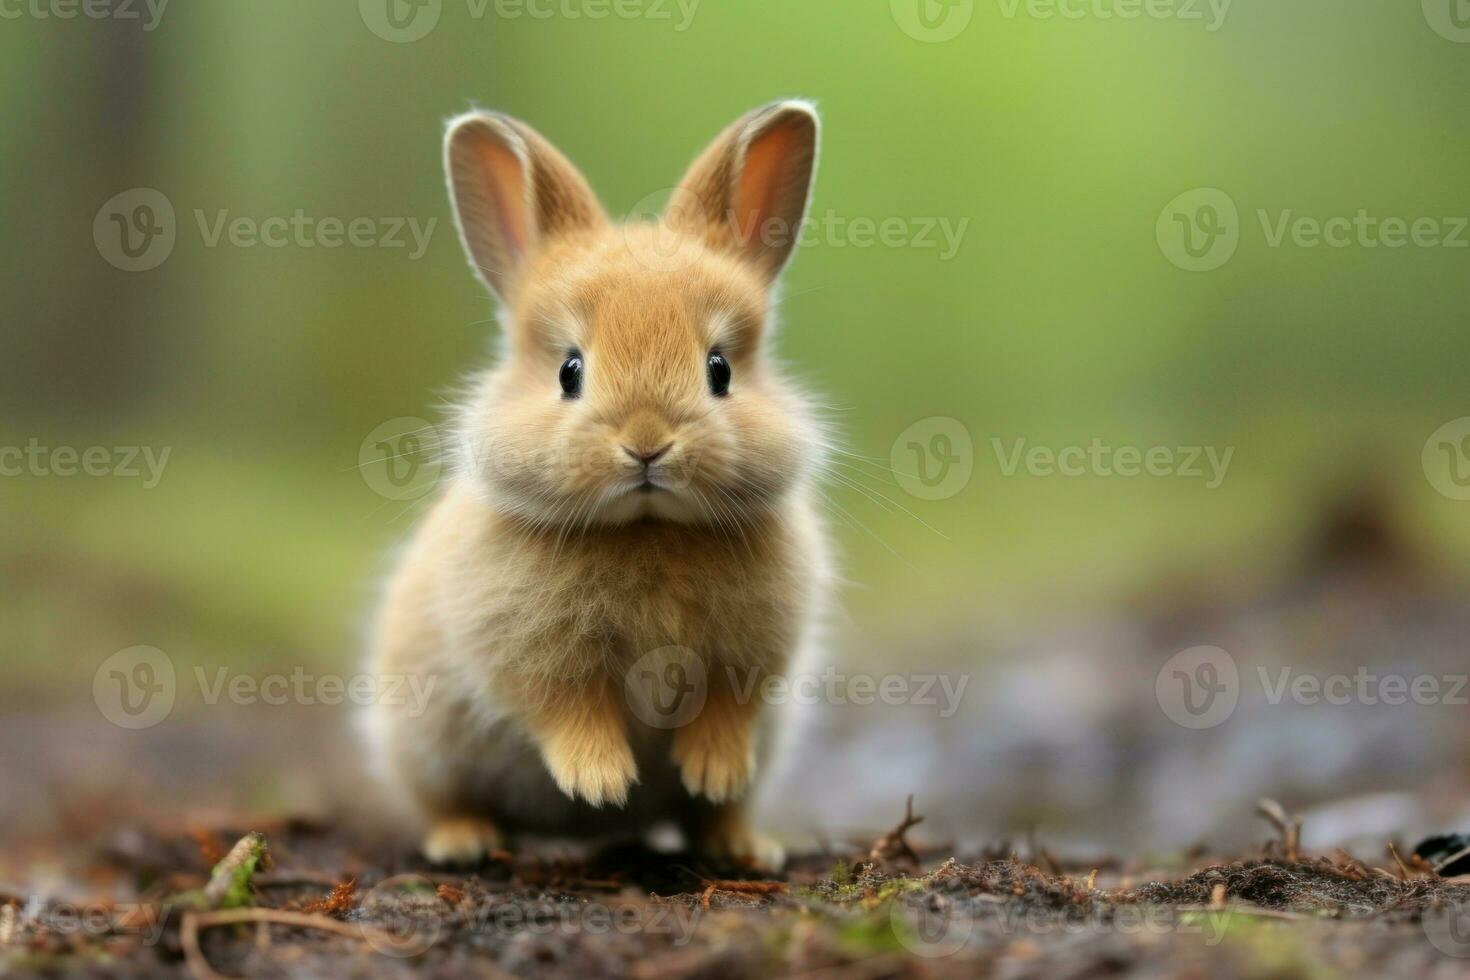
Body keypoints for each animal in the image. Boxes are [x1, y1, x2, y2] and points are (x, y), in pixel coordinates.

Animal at [363, 99, 834, 869]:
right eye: (570, 371)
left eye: (720, 369)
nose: (646, 443)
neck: (647, 527)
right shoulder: (528, 652)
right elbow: (565, 706)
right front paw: (601, 781)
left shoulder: (753, 657)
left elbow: (728, 708)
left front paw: (712, 770)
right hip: (422, 746)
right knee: (446, 801)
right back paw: (465, 842)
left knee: (718, 812)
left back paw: (744, 845)